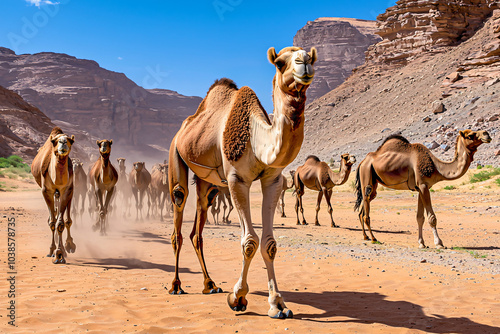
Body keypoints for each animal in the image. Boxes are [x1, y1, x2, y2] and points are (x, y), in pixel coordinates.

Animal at [31, 126, 75, 264]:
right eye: (54, 141)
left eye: (70, 141)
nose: (63, 142)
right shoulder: (46, 191)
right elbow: (52, 222)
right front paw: (52, 251)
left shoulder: (66, 190)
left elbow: (60, 223)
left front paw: (60, 254)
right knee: (54, 216)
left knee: (66, 219)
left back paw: (69, 246)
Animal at [168, 45, 316, 318]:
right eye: (280, 63)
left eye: (313, 58)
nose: (304, 63)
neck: (257, 140)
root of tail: (185, 127)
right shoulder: (237, 180)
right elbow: (249, 242)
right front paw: (237, 297)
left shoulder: (273, 180)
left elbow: (269, 243)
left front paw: (278, 304)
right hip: (176, 155)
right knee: (178, 213)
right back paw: (176, 286)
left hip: (208, 185)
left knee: (198, 228)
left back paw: (210, 284)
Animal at [356, 130, 492, 248]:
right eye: (470, 135)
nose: (487, 134)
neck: (437, 167)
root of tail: (362, 162)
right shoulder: (423, 185)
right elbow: (432, 218)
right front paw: (439, 243)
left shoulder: (421, 187)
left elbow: (420, 218)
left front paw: (421, 243)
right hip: (366, 173)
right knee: (366, 210)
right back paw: (374, 238)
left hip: (374, 182)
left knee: (363, 208)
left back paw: (365, 236)